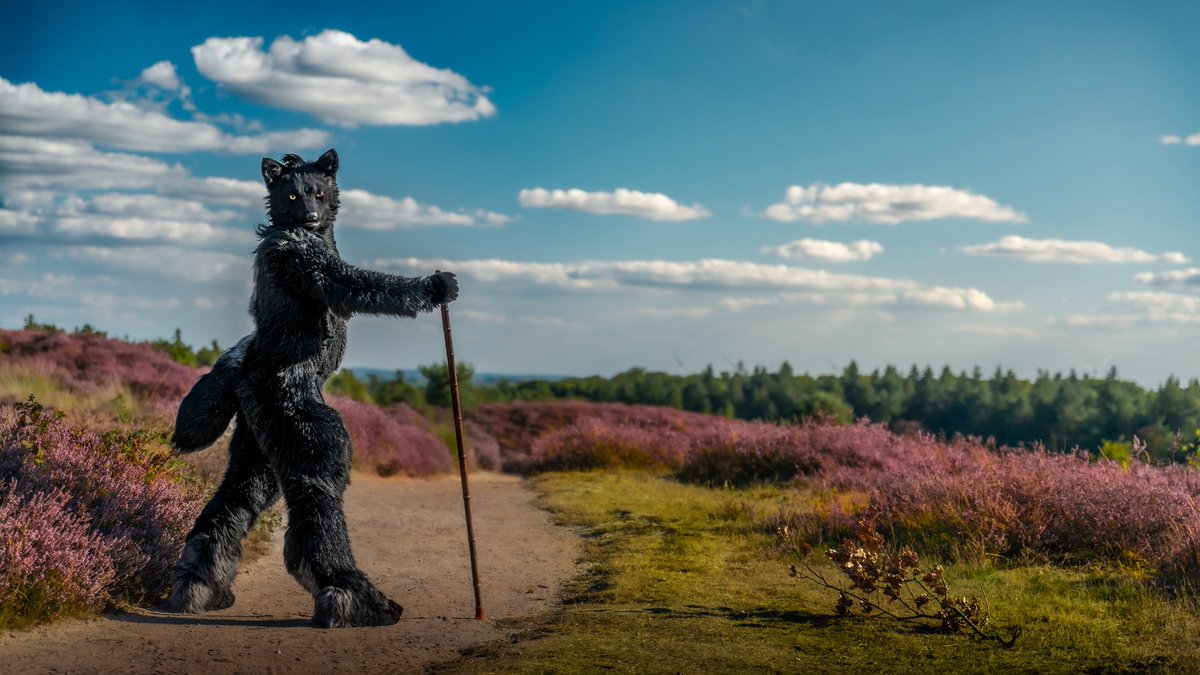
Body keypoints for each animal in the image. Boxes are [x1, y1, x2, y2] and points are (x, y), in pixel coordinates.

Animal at [167, 149, 457, 628]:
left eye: (319, 193)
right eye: (291, 195)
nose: (311, 216)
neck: (298, 234)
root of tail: (250, 385)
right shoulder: (315, 268)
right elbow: (366, 284)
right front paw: (435, 287)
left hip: (258, 452)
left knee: (228, 510)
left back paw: (201, 587)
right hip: (314, 439)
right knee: (316, 508)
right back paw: (351, 596)